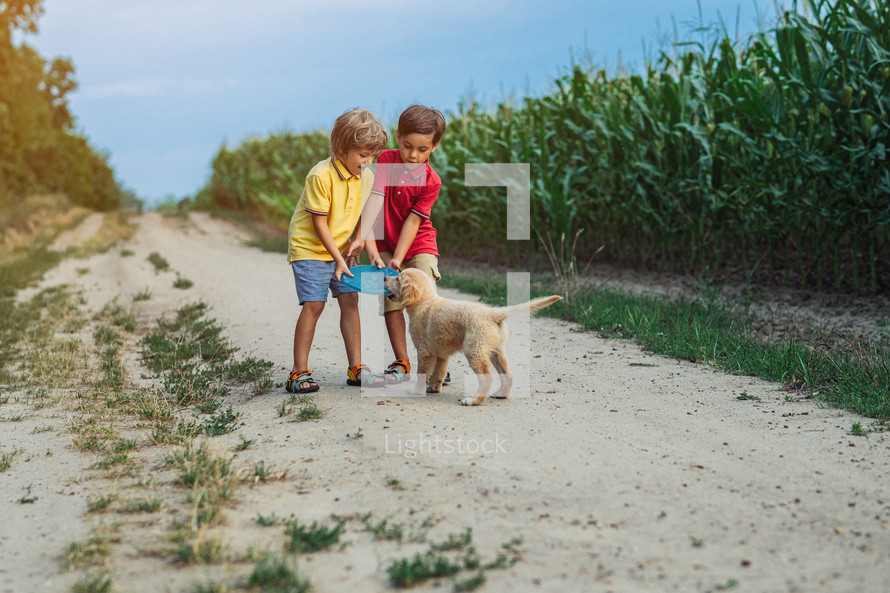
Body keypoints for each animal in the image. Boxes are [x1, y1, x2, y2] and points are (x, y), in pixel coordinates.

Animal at [384, 270, 560, 404]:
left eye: (398, 278)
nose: (384, 277)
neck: (424, 302)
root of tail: (493, 313)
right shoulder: (441, 353)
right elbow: (438, 373)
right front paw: (433, 389)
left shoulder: (424, 352)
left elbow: (423, 374)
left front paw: (416, 391)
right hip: (495, 351)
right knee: (507, 374)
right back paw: (501, 394)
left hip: (474, 350)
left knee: (487, 378)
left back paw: (473, 401)